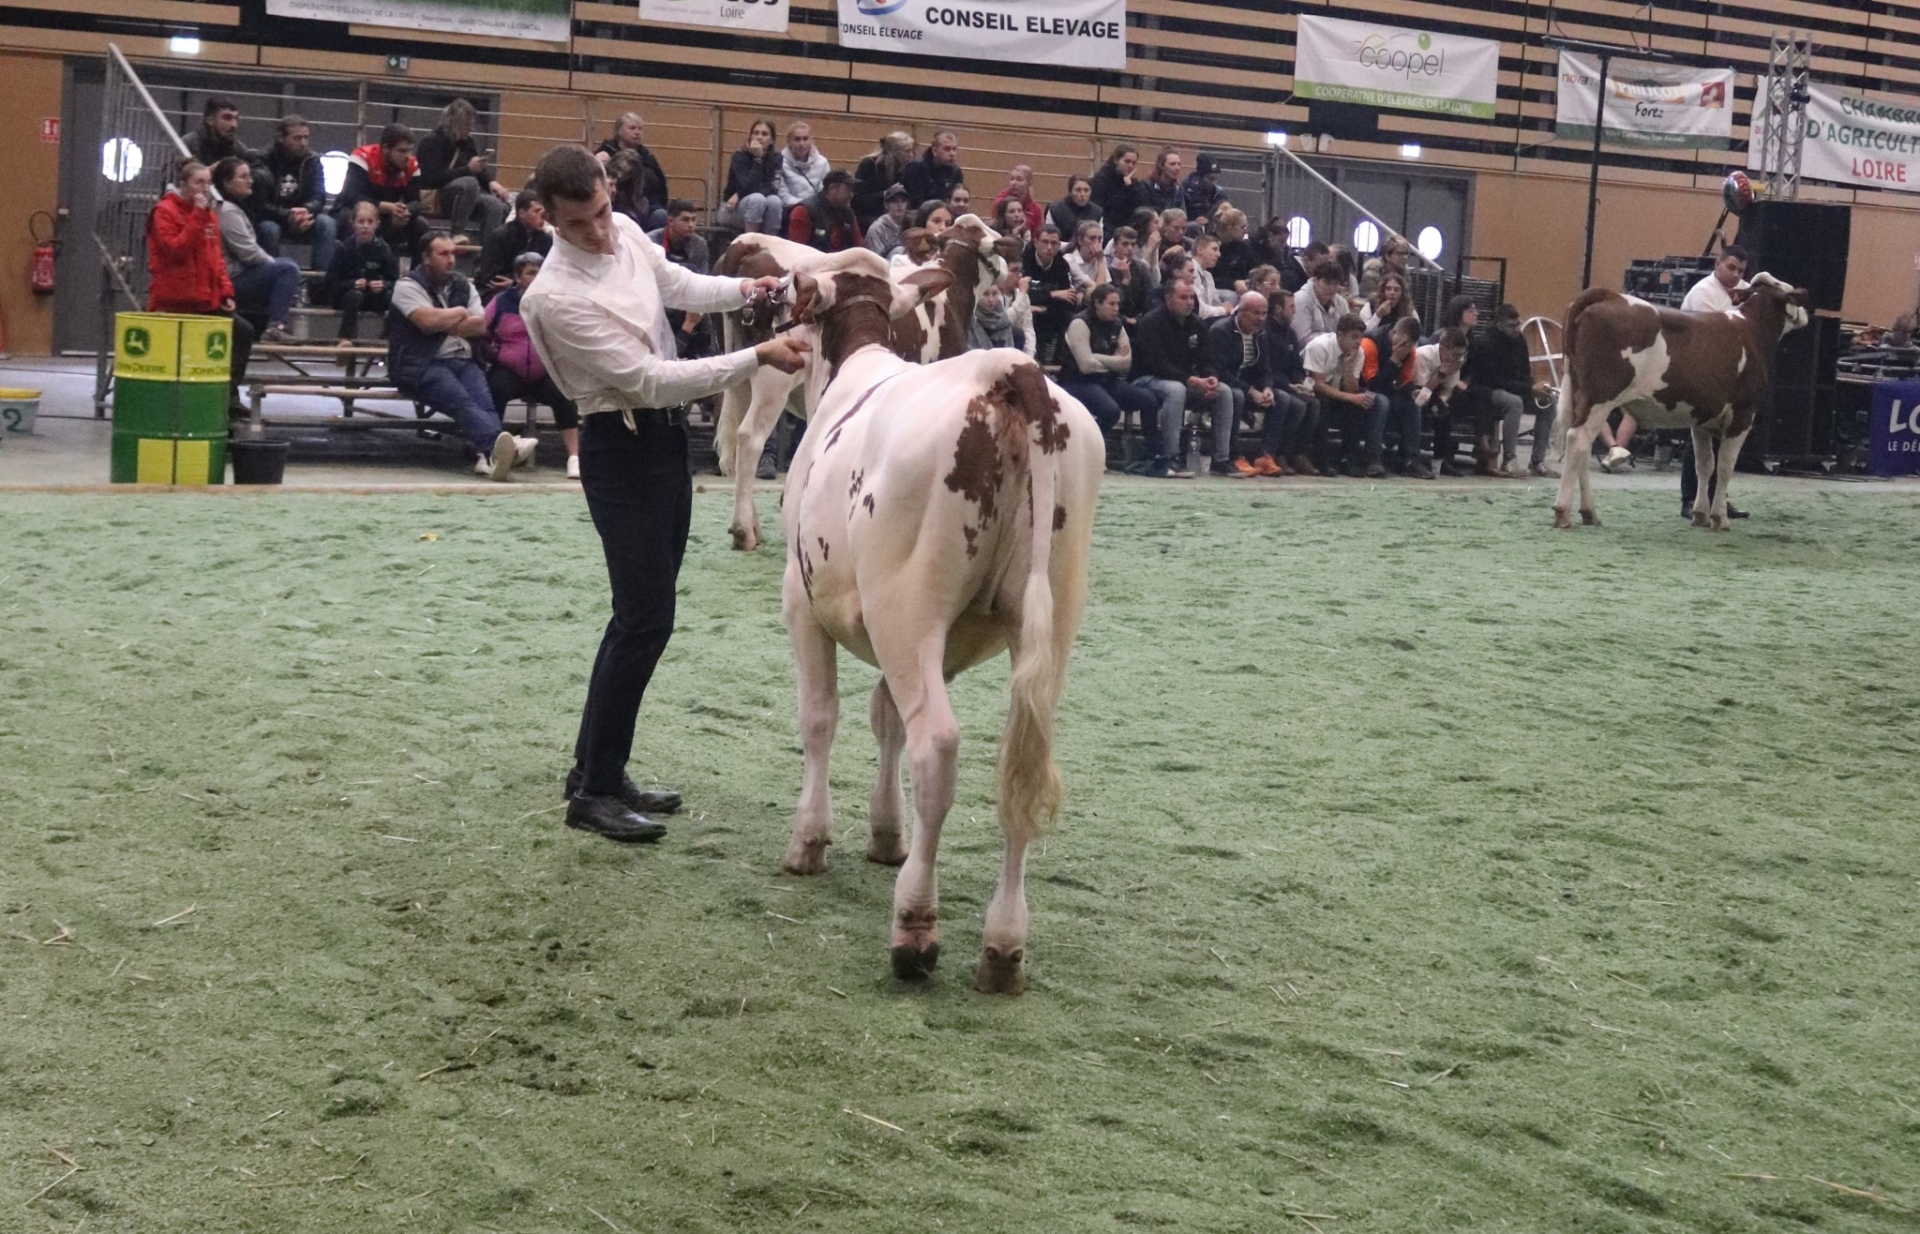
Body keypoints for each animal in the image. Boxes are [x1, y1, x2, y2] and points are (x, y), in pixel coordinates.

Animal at [718, 215, 1029, 548]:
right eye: (996, 241)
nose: (1011, 271)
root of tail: (748, 241)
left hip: (741, 372)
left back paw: (752, 525)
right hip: (774, 378)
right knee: (750, 437)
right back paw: (743, 530)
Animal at [771, 245, 1105, 997]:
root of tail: (1010, 370)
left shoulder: (803, 602)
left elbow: (822, 718)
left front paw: (810, 840)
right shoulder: (940, 646)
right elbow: (885, 717)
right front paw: (885, 836)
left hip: (908, 605)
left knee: (940, 749)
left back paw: (915, 930)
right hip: (1052, 613)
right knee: (1021, 764)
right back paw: (1003, 947)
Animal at [1551, 272, 1804, 529]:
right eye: (1787, 288)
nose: (1805, 313)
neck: (1751, 328)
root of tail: (1610, 295)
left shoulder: (1702, 419)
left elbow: (1704, 465)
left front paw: (1700, 514)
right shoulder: (1742, 414)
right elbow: (1724, 467)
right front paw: (1720, 518)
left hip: (1577, 392)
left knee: (1583, 447)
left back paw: (1589, 512)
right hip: (1601, 395)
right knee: (1578, 439)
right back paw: (1563, 512)